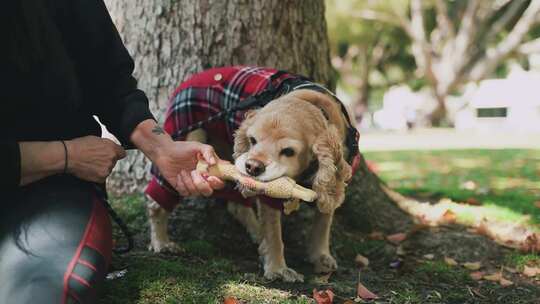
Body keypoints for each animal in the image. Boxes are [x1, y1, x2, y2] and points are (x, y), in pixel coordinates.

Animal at [146, 66, 360, 282]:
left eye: (288, 151)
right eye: (253, 140)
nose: (252, 167)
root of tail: (190, 79)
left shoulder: (334, 181)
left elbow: (323, 221)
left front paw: (321, 256)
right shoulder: (271, 193)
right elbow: (274, 233)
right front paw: (278, 268)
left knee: (236, 205)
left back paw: (257, 233)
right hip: (184, 143)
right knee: (156, 204)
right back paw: (161, 242)